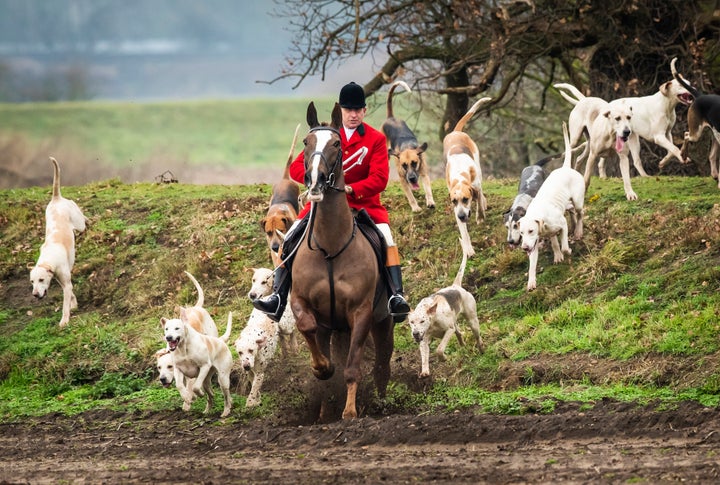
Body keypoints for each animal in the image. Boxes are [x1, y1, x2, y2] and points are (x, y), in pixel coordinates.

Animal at [288, 100, 394, 418]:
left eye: (337, 145)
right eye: (306, 143)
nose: (315, 182)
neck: (331, 247)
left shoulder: (361, 313)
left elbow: (352, 367)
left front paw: (349, 412)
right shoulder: (301, 301)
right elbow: (308, 329)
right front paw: (322, 368)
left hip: (382, 321)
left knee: (382, 362)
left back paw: (379, 402)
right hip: (334, 327)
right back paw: (324, 410)